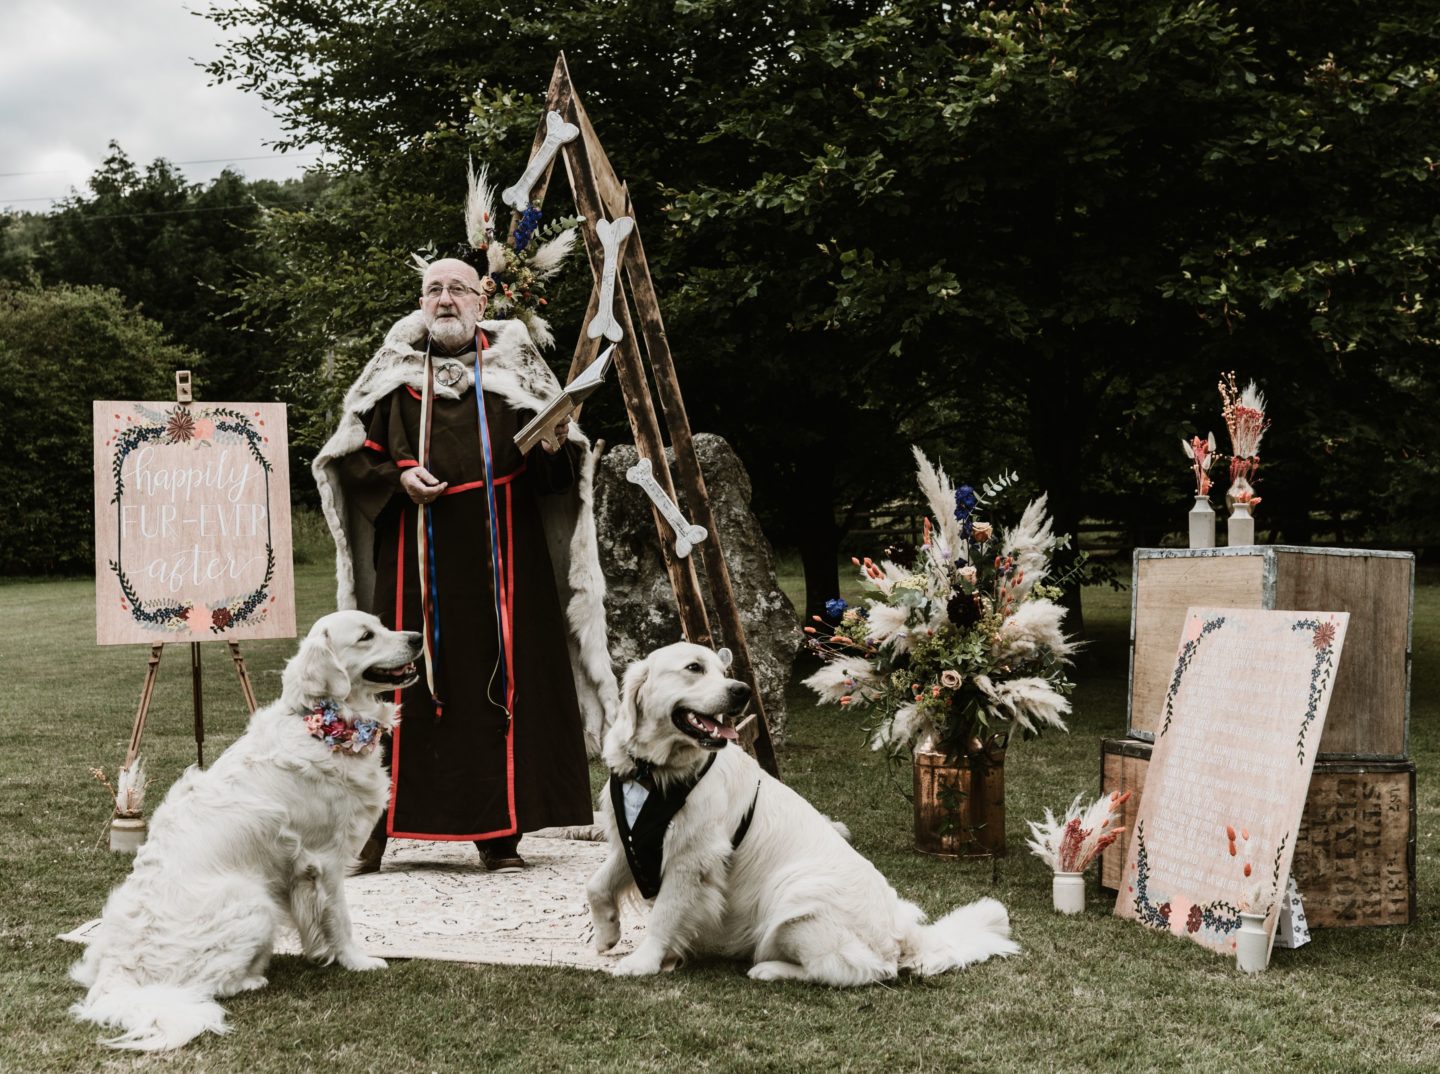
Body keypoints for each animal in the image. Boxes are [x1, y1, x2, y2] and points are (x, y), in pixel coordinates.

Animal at [70, 610, 420, 1048]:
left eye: (382, 625)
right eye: (366, 636)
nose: (418, 637)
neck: (321, 723)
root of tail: (116, 979)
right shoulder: (326, 859)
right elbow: (340, 918)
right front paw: (357, 961)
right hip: (255, 902)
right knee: (208, 986)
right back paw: (253, 979)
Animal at [587, 639, 1025, 984]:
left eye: (722, 670)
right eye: (694, 668)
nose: (742, 691)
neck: (652, 772)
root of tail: (903, 930)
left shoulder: (690, 858)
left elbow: (664, 915)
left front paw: (643, 961)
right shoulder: (632, 837)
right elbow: (596, 884)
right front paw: (607, 933)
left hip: (796, 893)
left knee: (857, 969)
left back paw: (770, 969)